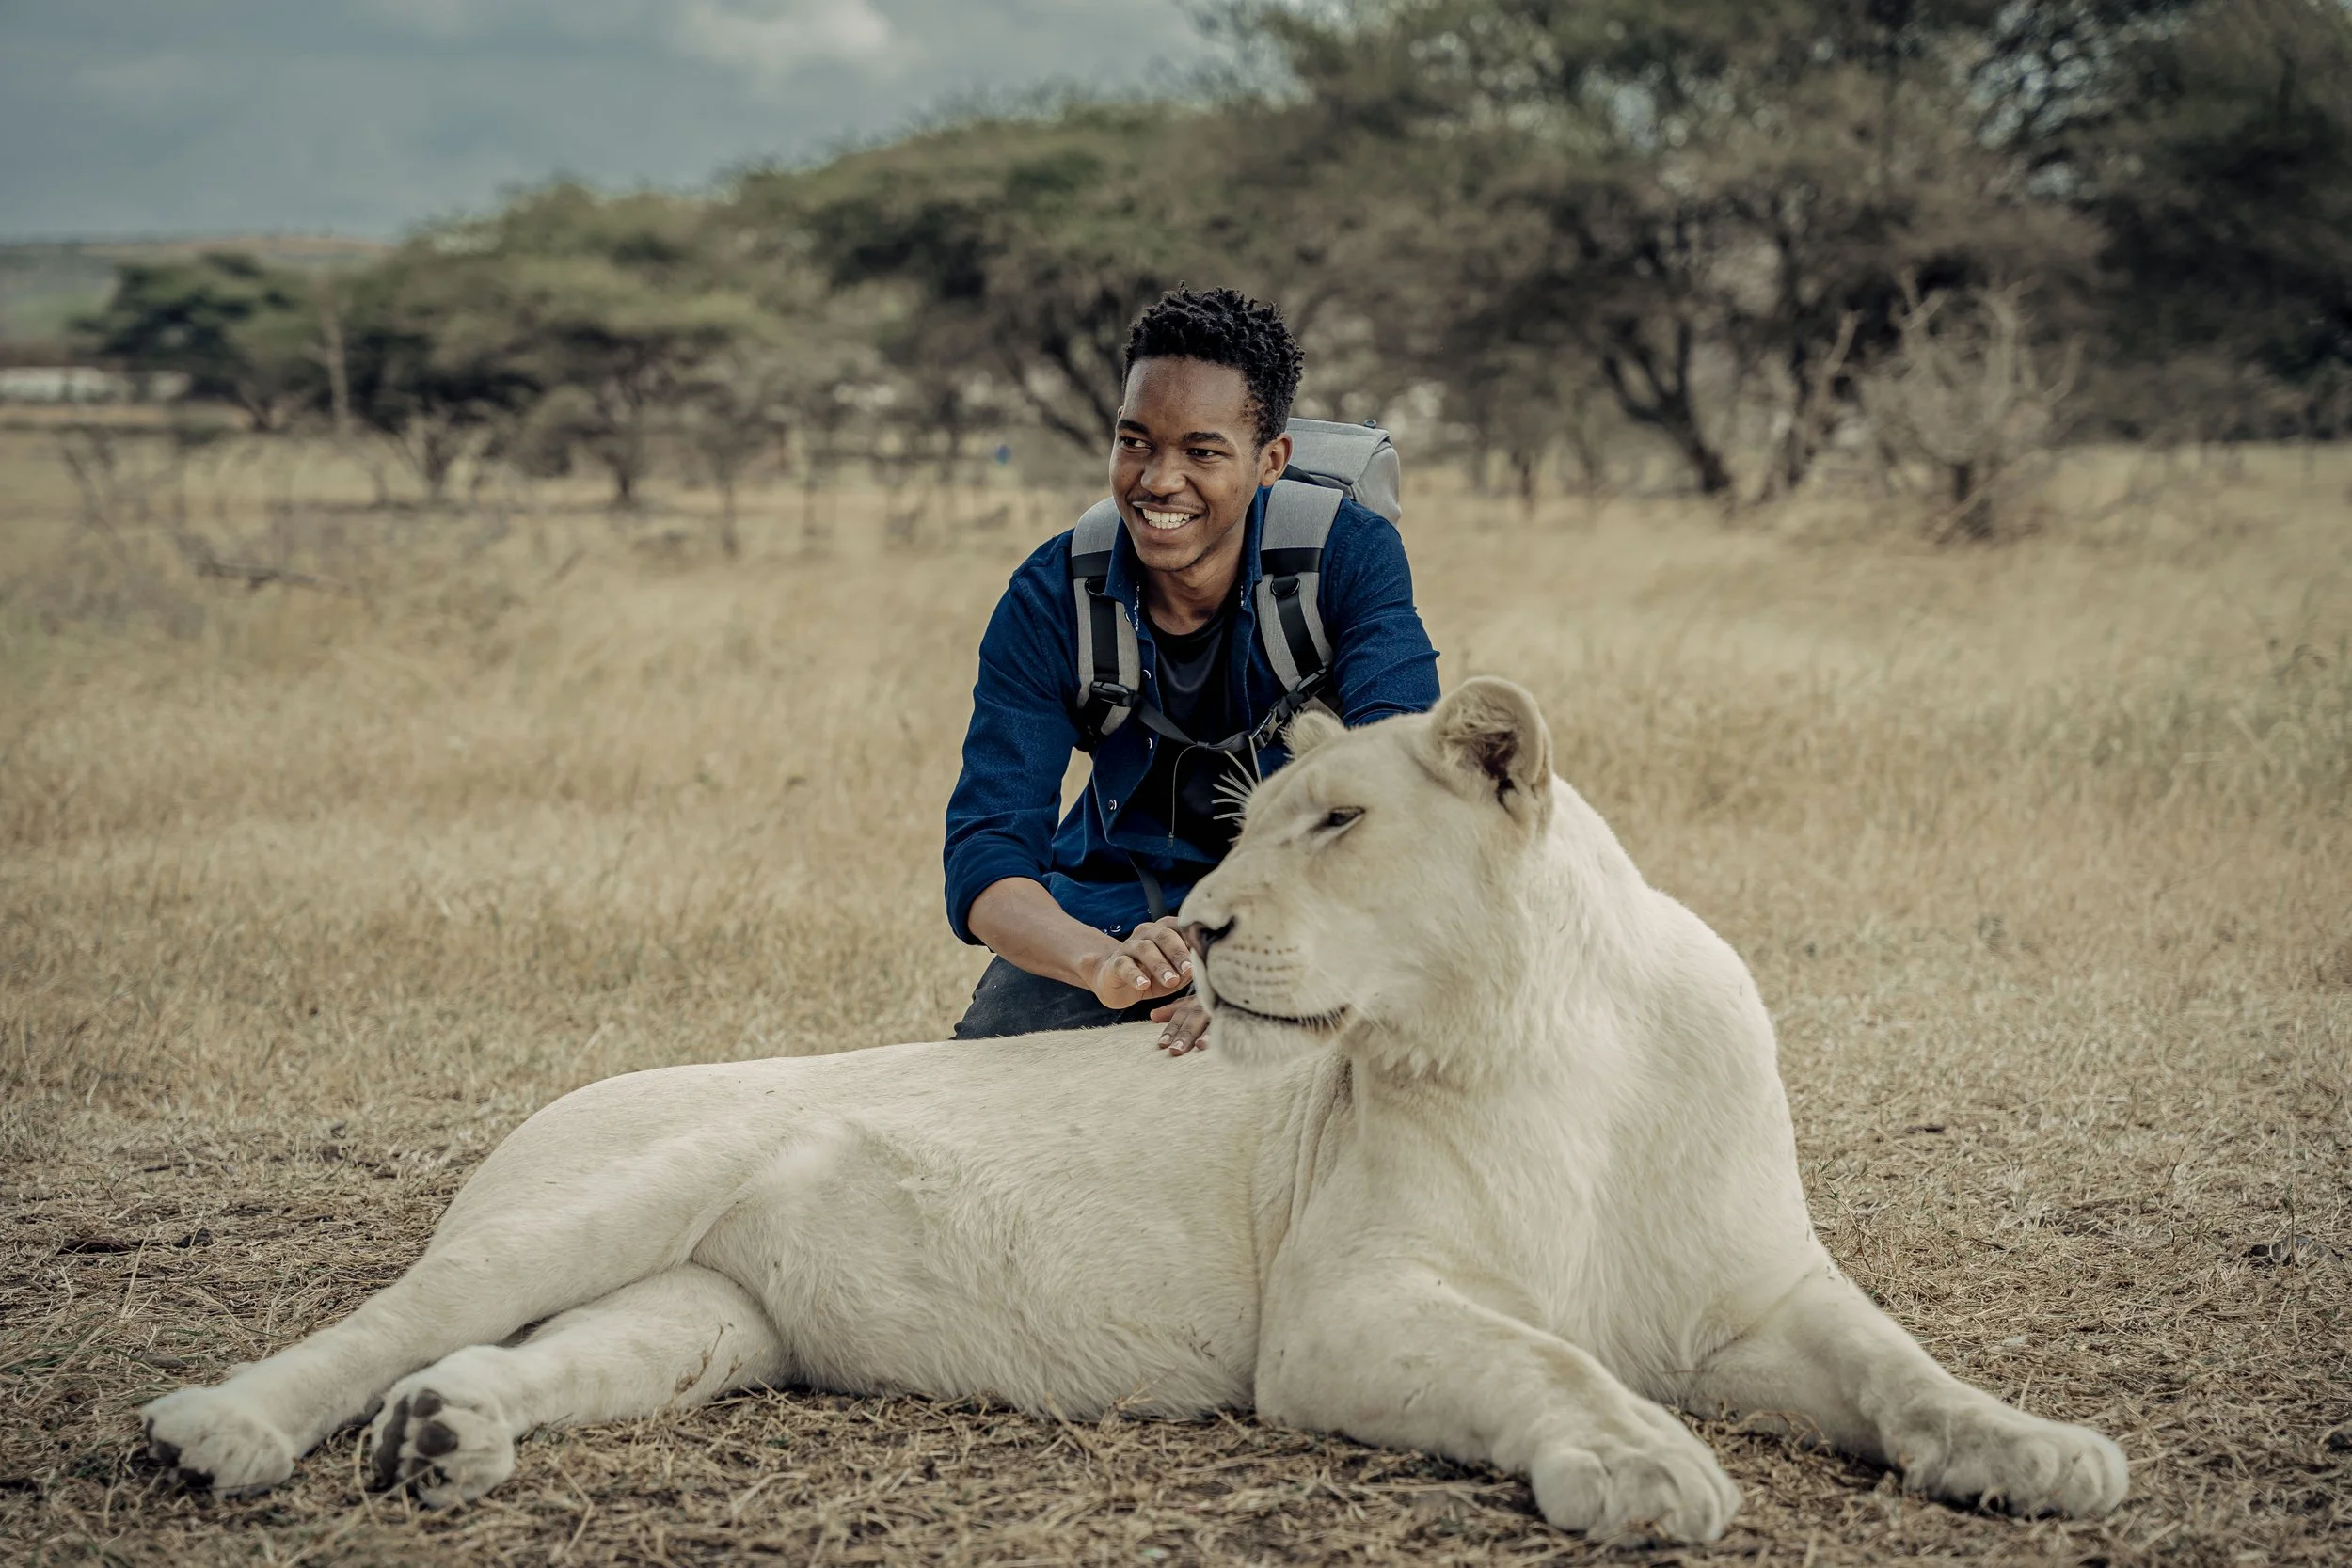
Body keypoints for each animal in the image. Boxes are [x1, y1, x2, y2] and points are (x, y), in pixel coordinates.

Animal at [140, 677, 2127, 1541]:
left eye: (1340, 821)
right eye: (1244, 825)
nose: (1208, 928)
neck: (1536, 1032)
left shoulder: (1754, 1296)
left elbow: (1903, 1365)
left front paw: (2042, 1453)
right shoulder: (1341, 1320)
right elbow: (1551, 1359)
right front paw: (1645, 1467)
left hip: (706, 1321)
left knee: (536, 1355)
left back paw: (444, 1438)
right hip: (598, 1186)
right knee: (393, 1314)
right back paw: (223, 1433)